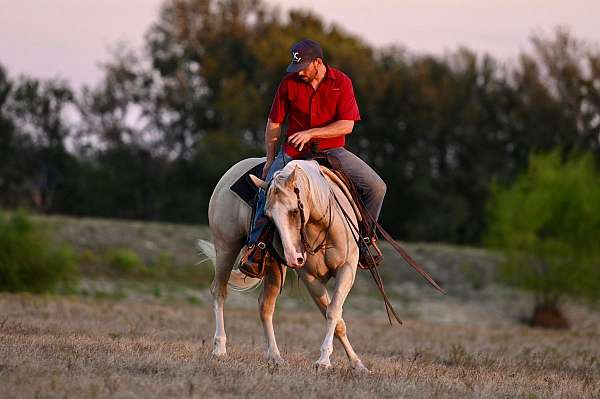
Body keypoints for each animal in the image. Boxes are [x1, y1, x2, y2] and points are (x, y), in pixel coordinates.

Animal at [199, 156, 368, 372]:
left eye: (295, 210)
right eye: (268, 216)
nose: (294, 258)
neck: (321, 225)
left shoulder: (347, 269)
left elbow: (335, 314)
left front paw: (356, 363)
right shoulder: (310, 277)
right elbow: (333, 315)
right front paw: (324, 361)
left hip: (273, 267)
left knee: (265, 306)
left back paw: (275, 356)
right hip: (226, 247)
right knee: (219, 291)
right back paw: (220, 349)